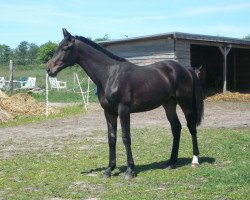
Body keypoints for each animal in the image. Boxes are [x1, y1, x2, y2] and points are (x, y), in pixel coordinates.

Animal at [47, 28, 203, 180]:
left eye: (65, 48)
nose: (49, 69)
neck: (110, 74)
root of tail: (186, 69)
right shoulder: (109, 112)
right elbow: (111, 139)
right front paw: (109, 170)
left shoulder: (123, 110)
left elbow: (126, 138)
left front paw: (129, 170)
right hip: (169, 104)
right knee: (176, 128)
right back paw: (171, 162)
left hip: (185, 103)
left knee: (191, 127)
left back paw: (195, 160)